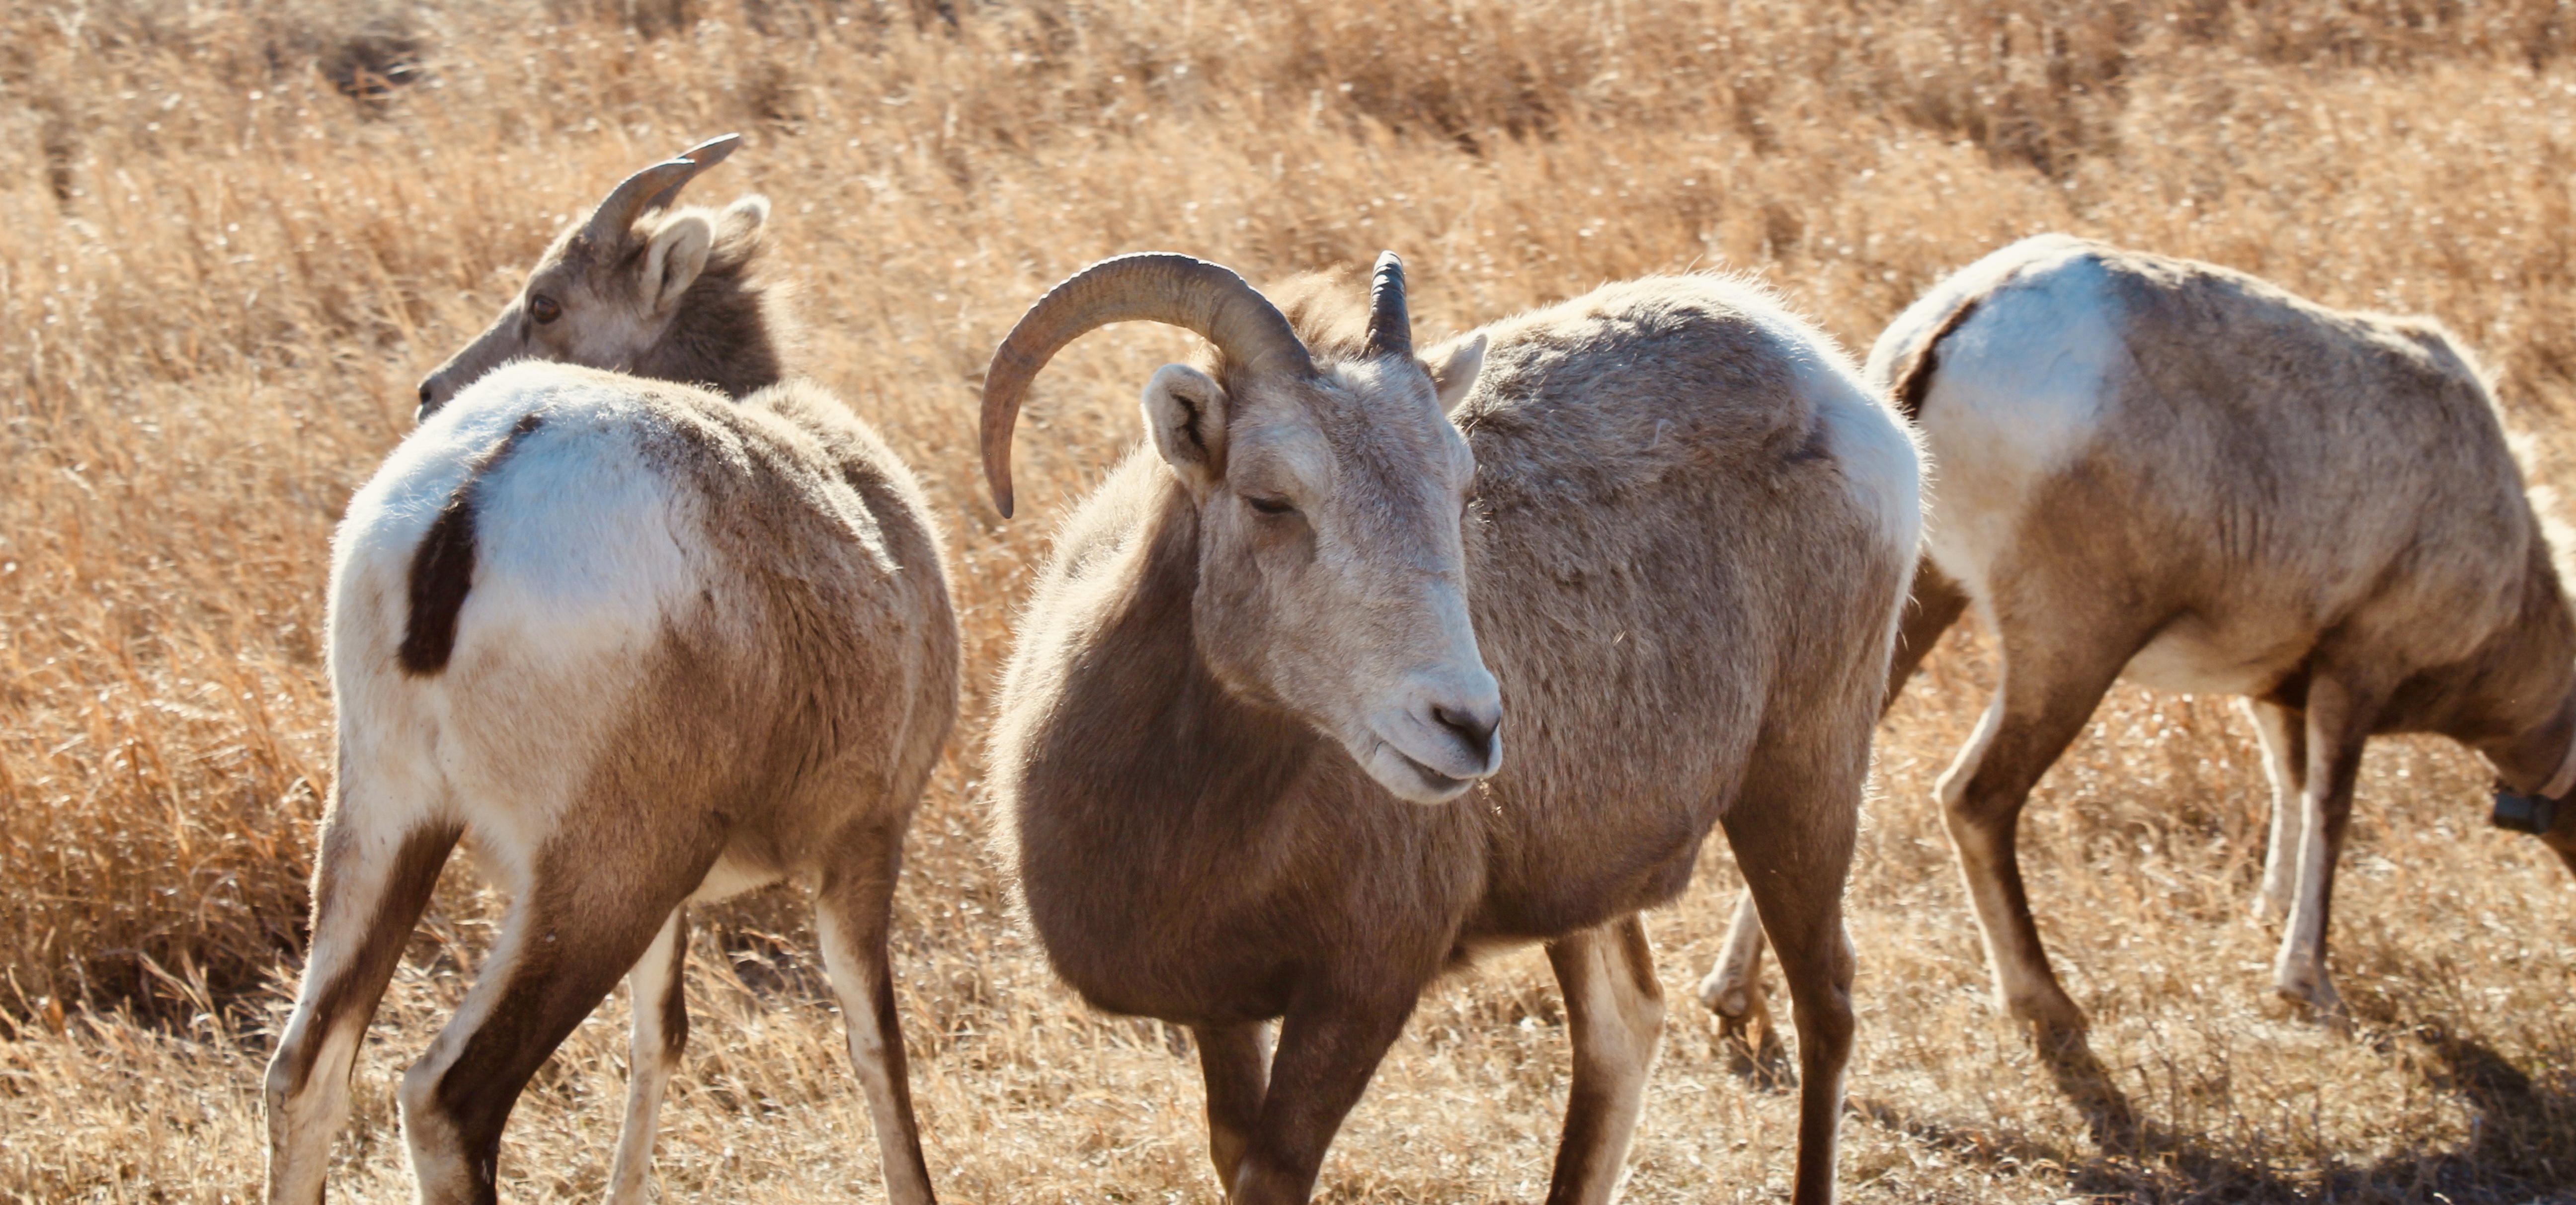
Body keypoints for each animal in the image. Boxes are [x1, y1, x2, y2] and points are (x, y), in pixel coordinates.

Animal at [266, 136, 963, 1200]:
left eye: (546, 303)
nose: (430, 388)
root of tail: (469, 497)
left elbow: (658, 1037)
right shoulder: (864, 840)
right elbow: (874, 1044)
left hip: (384, 823)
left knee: (306, 1073)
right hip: (602, 875)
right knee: (446, 1097)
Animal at [973, 250, 1927, 1200]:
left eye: (1462, 489)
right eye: (1269, 500)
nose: (1467, 725)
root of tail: (1829, 382)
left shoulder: (1360, 992)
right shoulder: (1223, 1010)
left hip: (1802, 778)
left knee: (1825, 1004)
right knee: (1622, 1027)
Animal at [1710, 235, 2576, 1045]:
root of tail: (1961, 321)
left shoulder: (2282, 692)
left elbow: (2291, 788)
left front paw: (2267, 916)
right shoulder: (2355, 674)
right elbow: (2331, 816)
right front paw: (2310, 988)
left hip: (1907, 618)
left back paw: (1734, 1000)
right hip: (2072, 647)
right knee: (1977, 798)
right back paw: (2049, 1006)